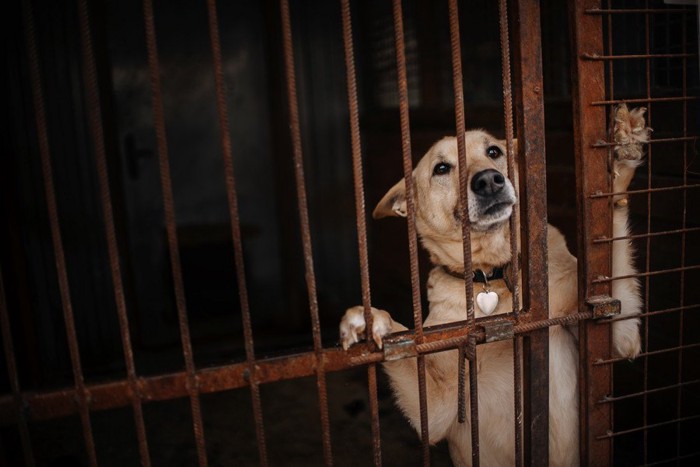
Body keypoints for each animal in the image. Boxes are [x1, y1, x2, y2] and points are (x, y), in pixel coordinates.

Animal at [340, 104, 652, 466]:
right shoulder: (437, 408)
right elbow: (402, 347)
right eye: (442, 168)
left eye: (493, 152)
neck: (491, 279)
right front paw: (372, 321)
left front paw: (623, 150)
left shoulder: (618, 337)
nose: (489, 180)